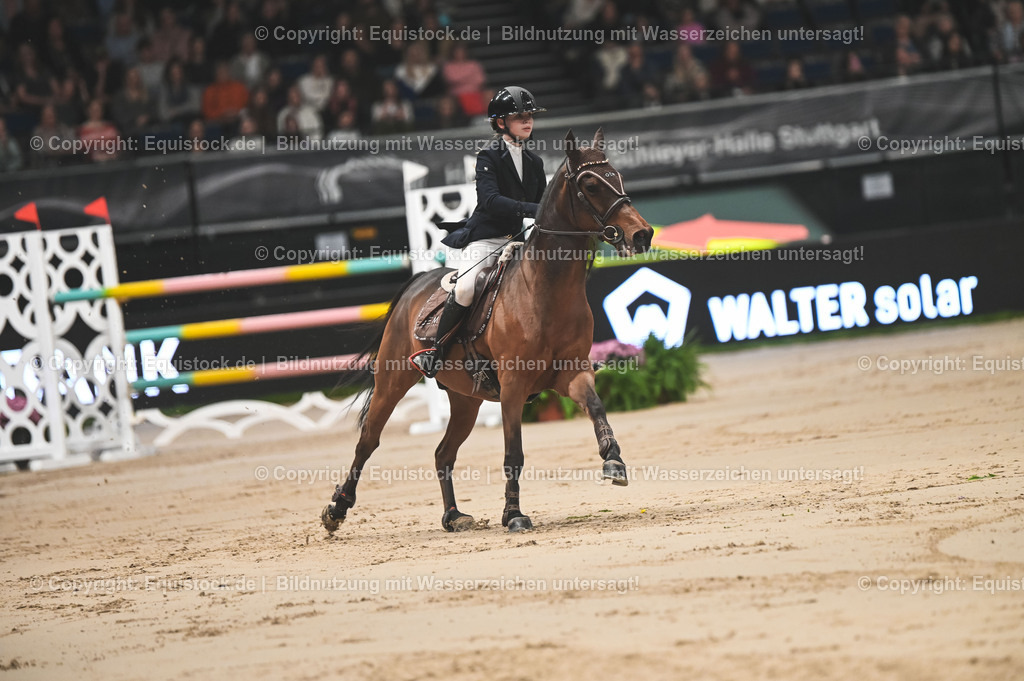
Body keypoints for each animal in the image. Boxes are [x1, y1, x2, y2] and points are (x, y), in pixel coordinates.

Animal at [322, 129, 654, 533]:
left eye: (617, 177)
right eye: (590, 185)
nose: (642, 235)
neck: (546, 290)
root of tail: (418, 283)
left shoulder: (572, 373)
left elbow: (596, 407)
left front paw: (613, 461)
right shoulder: (513, 385)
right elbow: (514, 453)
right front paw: (513, 515)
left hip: (466, 398)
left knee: (443, 452)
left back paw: (453, 516)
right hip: (393, 380)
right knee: (368, 441)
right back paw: (337, 509)